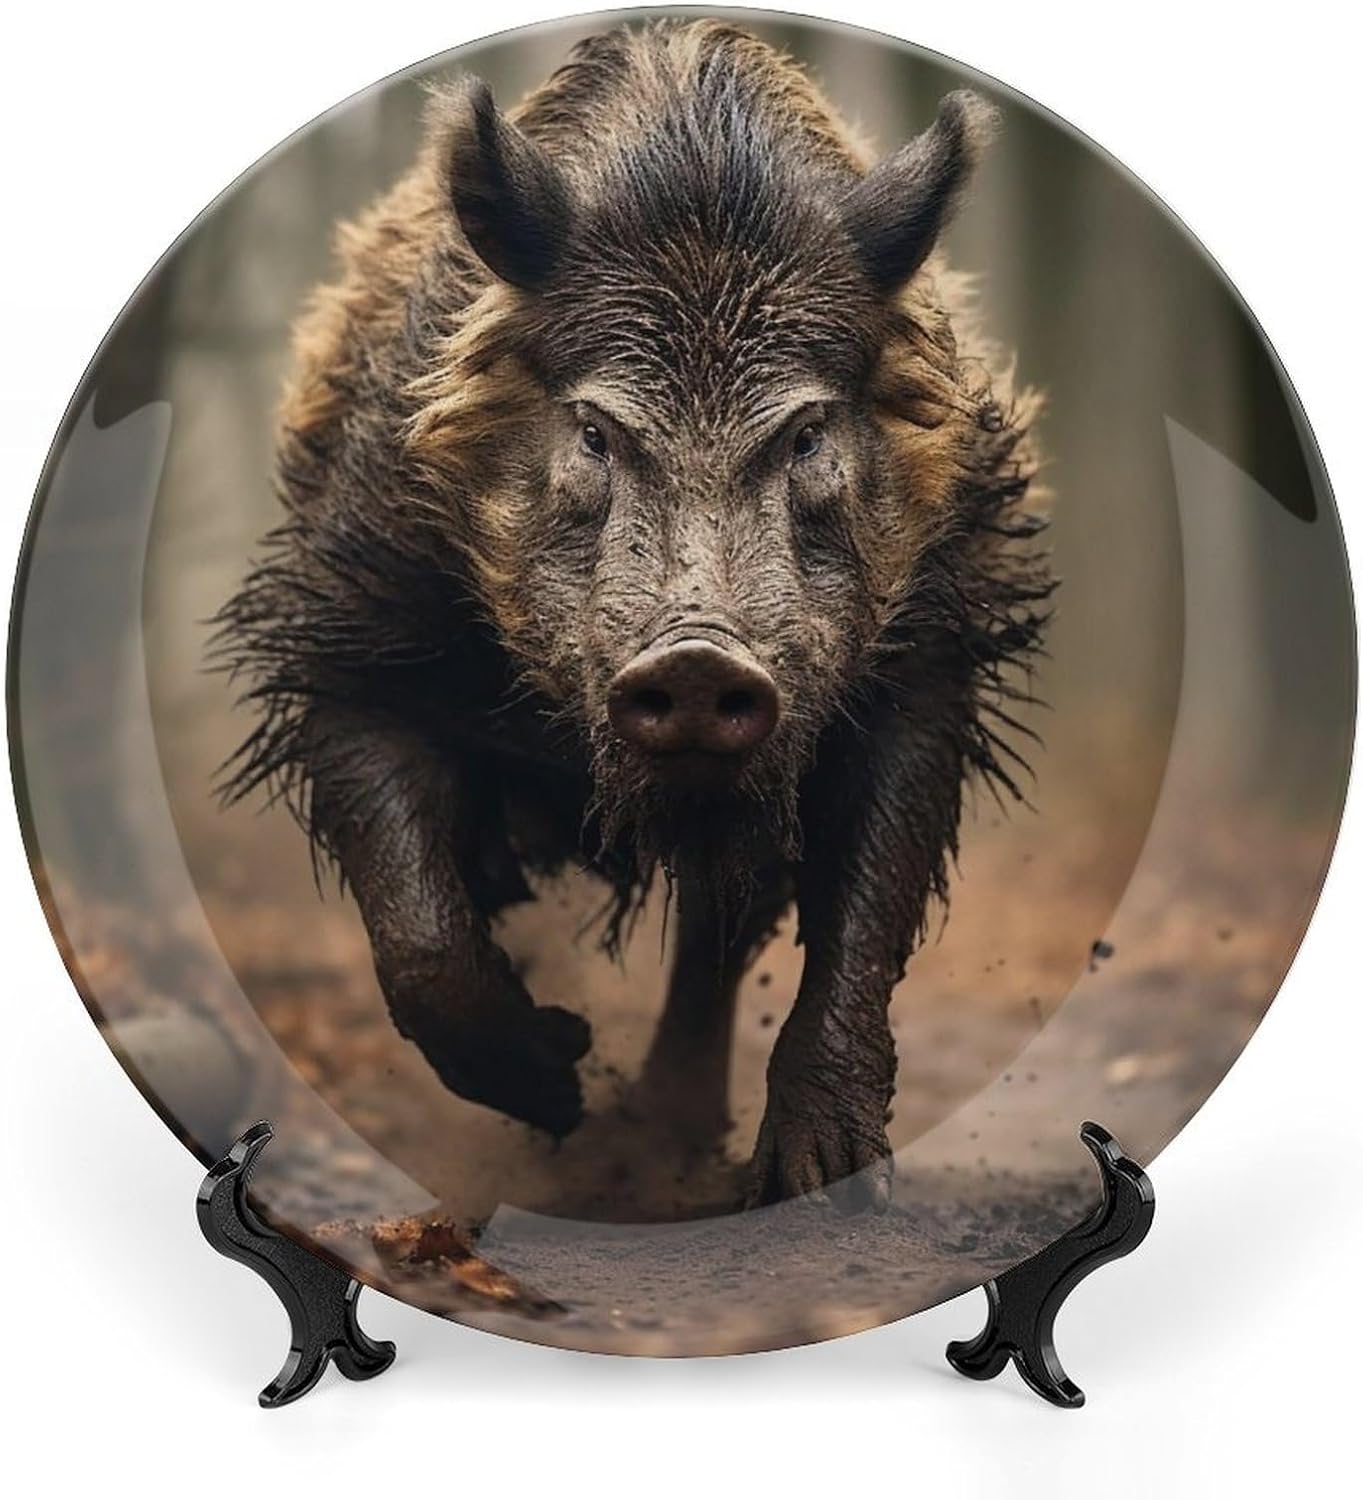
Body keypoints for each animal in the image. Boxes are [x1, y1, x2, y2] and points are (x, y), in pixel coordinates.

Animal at [214, 19, 1049, 1212]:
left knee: (719, 937)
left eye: (805, 434)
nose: (699, 658)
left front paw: (819, 1189)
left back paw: (676, 1143)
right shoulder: (351, 622)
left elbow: (865, 898)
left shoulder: (932, 651)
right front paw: (559, 1086)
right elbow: (420, 935)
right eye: (595, 432)